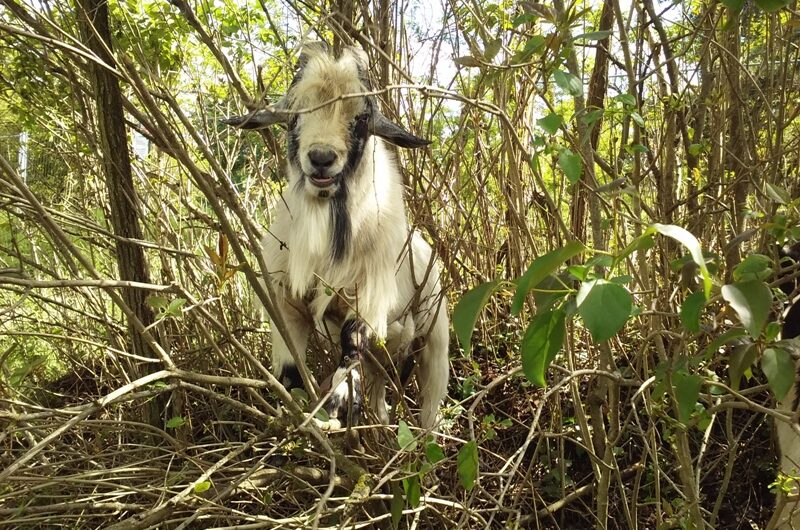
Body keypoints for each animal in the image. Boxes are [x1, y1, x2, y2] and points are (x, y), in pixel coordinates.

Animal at [225, 43, 450, 426]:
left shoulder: (368, 299)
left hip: (435, 337)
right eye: (293, 116)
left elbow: (350, 344)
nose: (321, 158)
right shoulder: (287, 301)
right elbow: (290, 369)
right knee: (379, 387)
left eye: (360, 119)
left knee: (429, 399)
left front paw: (333, 409)